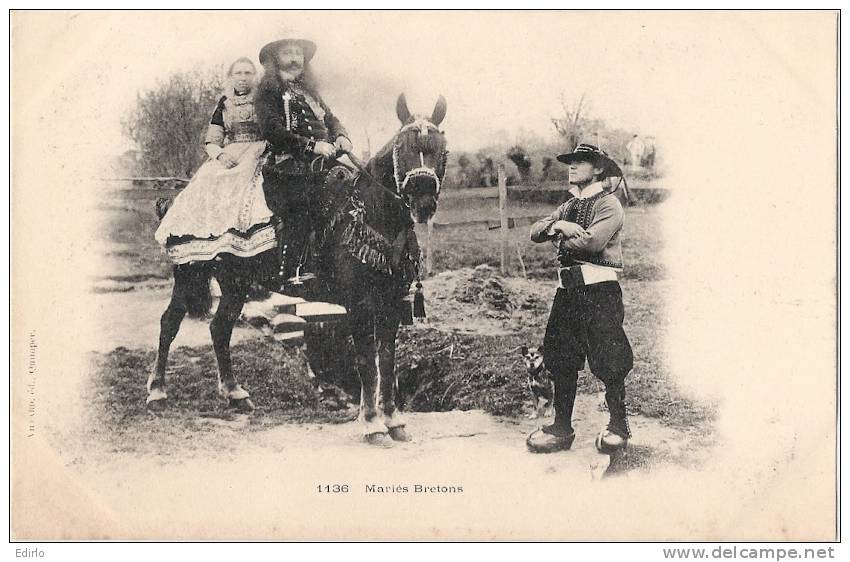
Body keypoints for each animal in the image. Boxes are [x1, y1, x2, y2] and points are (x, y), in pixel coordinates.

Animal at [147, 93, 448, 446]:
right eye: (404, 147)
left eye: (441, 149)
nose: (423, 204)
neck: (373, 216)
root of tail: (174, 199)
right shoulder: (360, 305)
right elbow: (366, 363)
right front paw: (372, 424)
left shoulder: (392, 305)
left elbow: (387, 361)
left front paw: (393, 420)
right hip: (189, 275)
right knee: (169, 323)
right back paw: (157, 392)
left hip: (235, 283)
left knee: (219, 328)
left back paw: (235, 394)